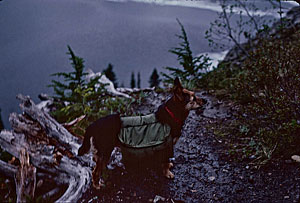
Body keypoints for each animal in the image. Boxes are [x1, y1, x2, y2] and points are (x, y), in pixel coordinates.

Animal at [77, 77, 206, 189]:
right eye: (193, 98)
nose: (205, 100)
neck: (171, 115)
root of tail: (93, 125)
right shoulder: (166, 146)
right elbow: (165, 162)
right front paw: (167, 173)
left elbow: (164, 161)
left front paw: (167, 166)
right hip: (105, 151)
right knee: (95, 171)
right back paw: (97, 185)